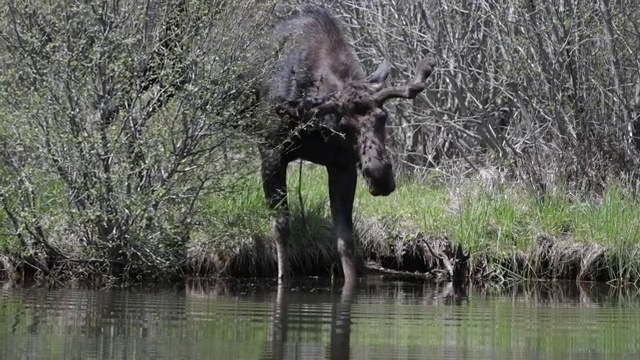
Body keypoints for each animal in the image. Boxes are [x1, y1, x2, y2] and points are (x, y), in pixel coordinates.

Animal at [255, 4, 436, 284]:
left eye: (383, 117)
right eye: (344, 126)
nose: (379, 175)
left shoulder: (343, 165)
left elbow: (345, 241)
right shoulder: (271, 151)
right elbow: (280, 227)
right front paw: (282, 279)